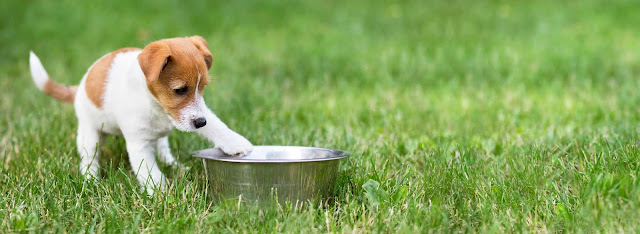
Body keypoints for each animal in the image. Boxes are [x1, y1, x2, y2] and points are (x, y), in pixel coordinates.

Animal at [29, 35, 255, 195]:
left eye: (203, 87)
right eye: (180, 90)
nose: (200, 122)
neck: (158, 107)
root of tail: (79, 87)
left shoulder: (195, 114)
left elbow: (215, 125)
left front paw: (235, 142)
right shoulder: (139, 144)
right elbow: (150, 173)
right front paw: (162, 195)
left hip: (161, 138)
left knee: (163, 148)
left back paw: (174, 165)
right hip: (89, 134)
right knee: (89, 158)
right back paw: (91, 180)